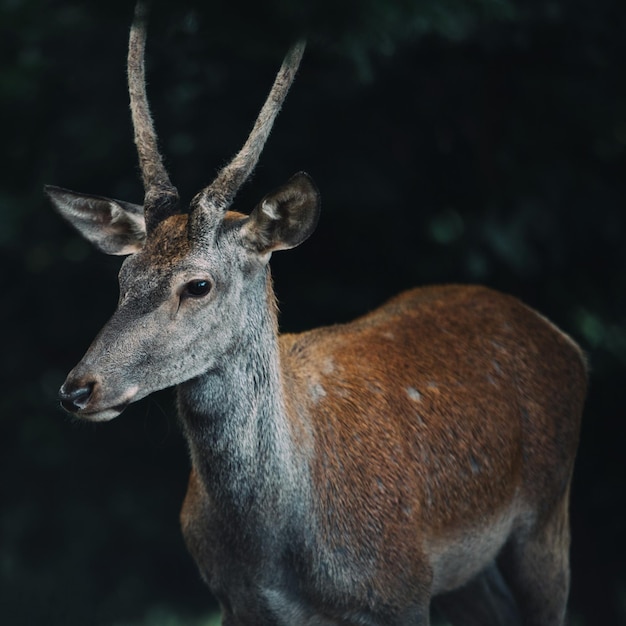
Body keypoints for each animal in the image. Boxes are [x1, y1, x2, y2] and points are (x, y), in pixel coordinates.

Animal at [46, 2, 588, 620]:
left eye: (199, 284)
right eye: (123, 278)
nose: (78, 389)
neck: (280, 551)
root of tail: (564, 340)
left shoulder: (401, 589)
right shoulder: (235, 604)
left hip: (546, 522)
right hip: (471, 575)